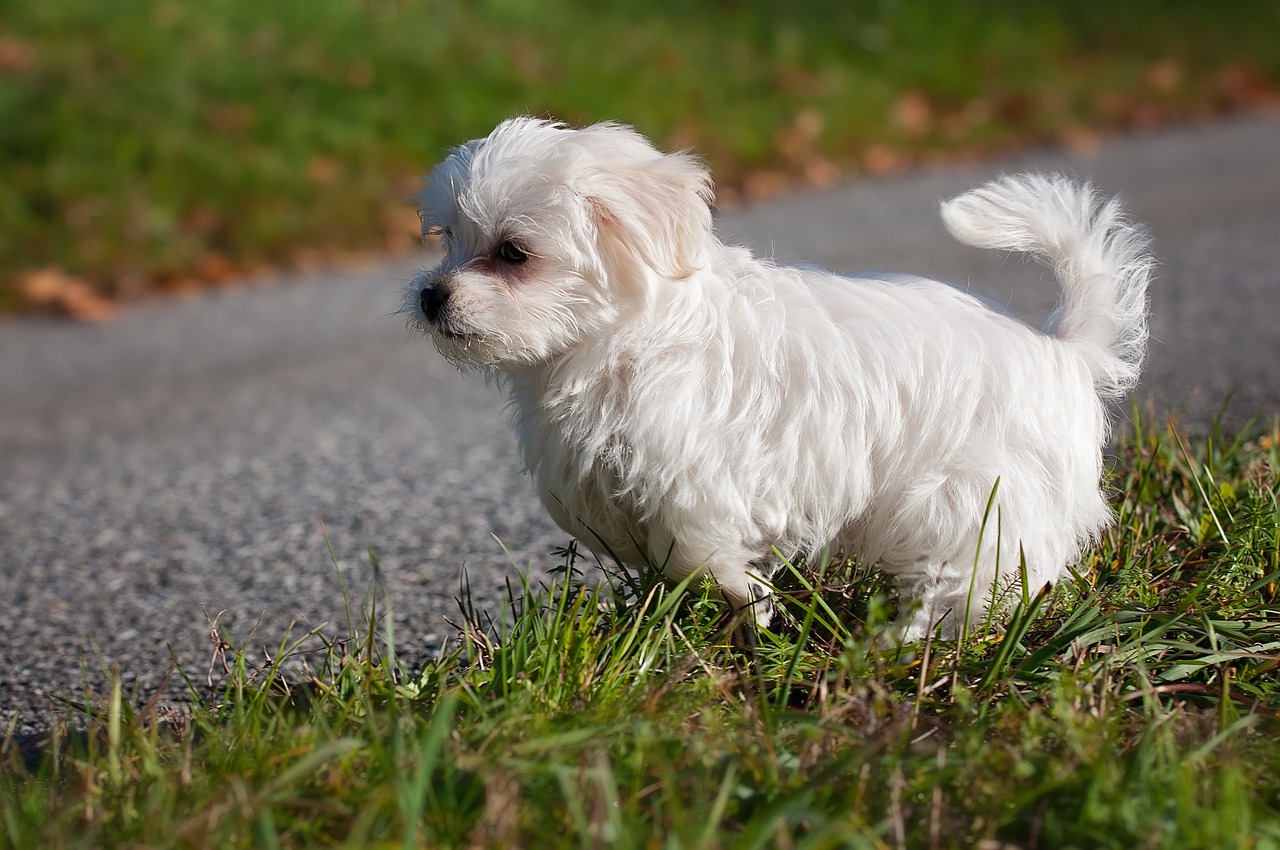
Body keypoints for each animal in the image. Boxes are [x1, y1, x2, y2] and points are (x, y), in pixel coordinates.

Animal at [404, 117, 1157, 637]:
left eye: (514, 253)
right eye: (447, 240)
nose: (431, 296)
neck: (620, 340)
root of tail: (1061, 347)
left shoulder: (696, 478)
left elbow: (701, 552)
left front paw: (750, 606)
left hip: (971, 495)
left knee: (977, 580)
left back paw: (903, 642)